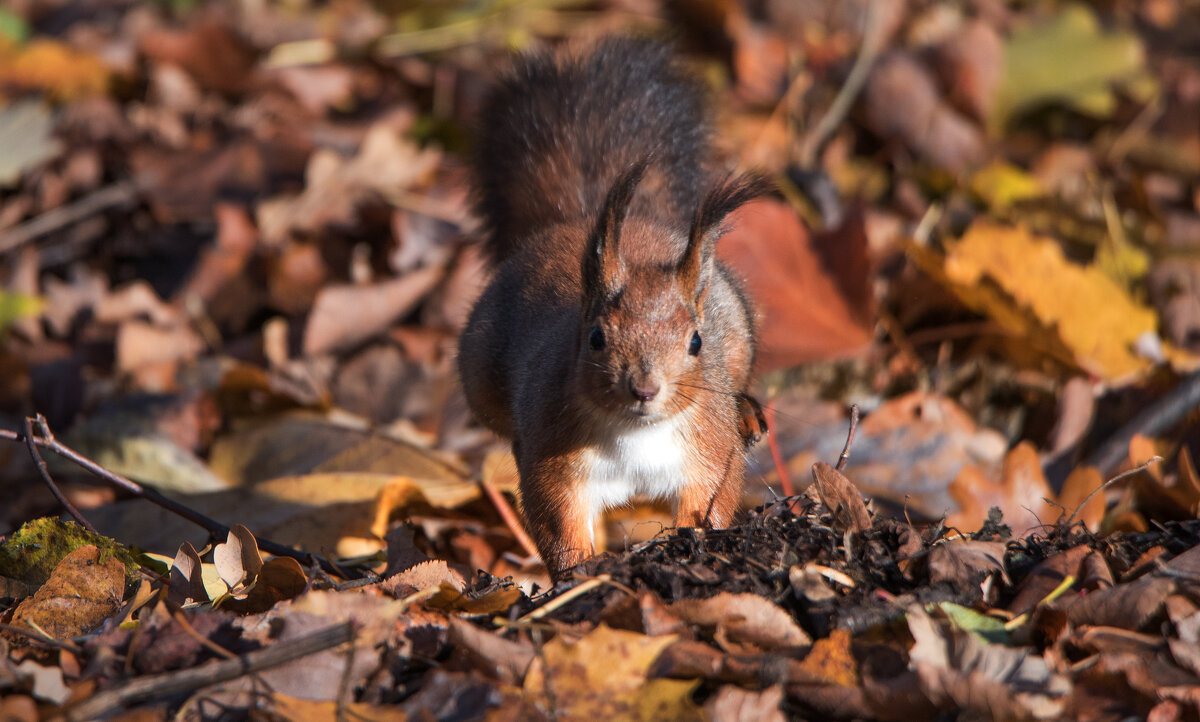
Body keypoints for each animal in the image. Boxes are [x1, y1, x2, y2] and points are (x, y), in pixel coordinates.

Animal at [453, 37, 763, 578]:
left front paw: (694, 542)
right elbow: (560, 525)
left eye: (696, 342)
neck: (637, 435)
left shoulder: (710, 447)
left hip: (740, 332)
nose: (644, 389)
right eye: (596, 337)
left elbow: (712, 500)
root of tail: (577, 222)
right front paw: (578, 575)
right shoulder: (554, 458)